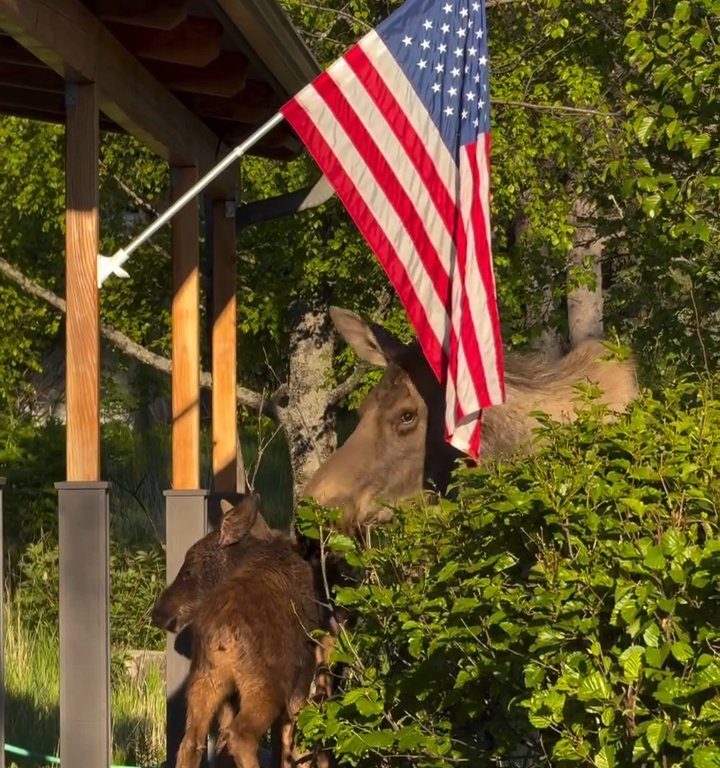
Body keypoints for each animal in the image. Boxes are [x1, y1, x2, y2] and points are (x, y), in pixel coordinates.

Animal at [152, 498, 320, 768]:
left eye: (188, 571)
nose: (158, 613)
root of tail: (220, 632)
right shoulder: (302, 679)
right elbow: (294, 746)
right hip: (266, 686)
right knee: (241, 735)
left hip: (206, 680)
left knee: (191, 741)